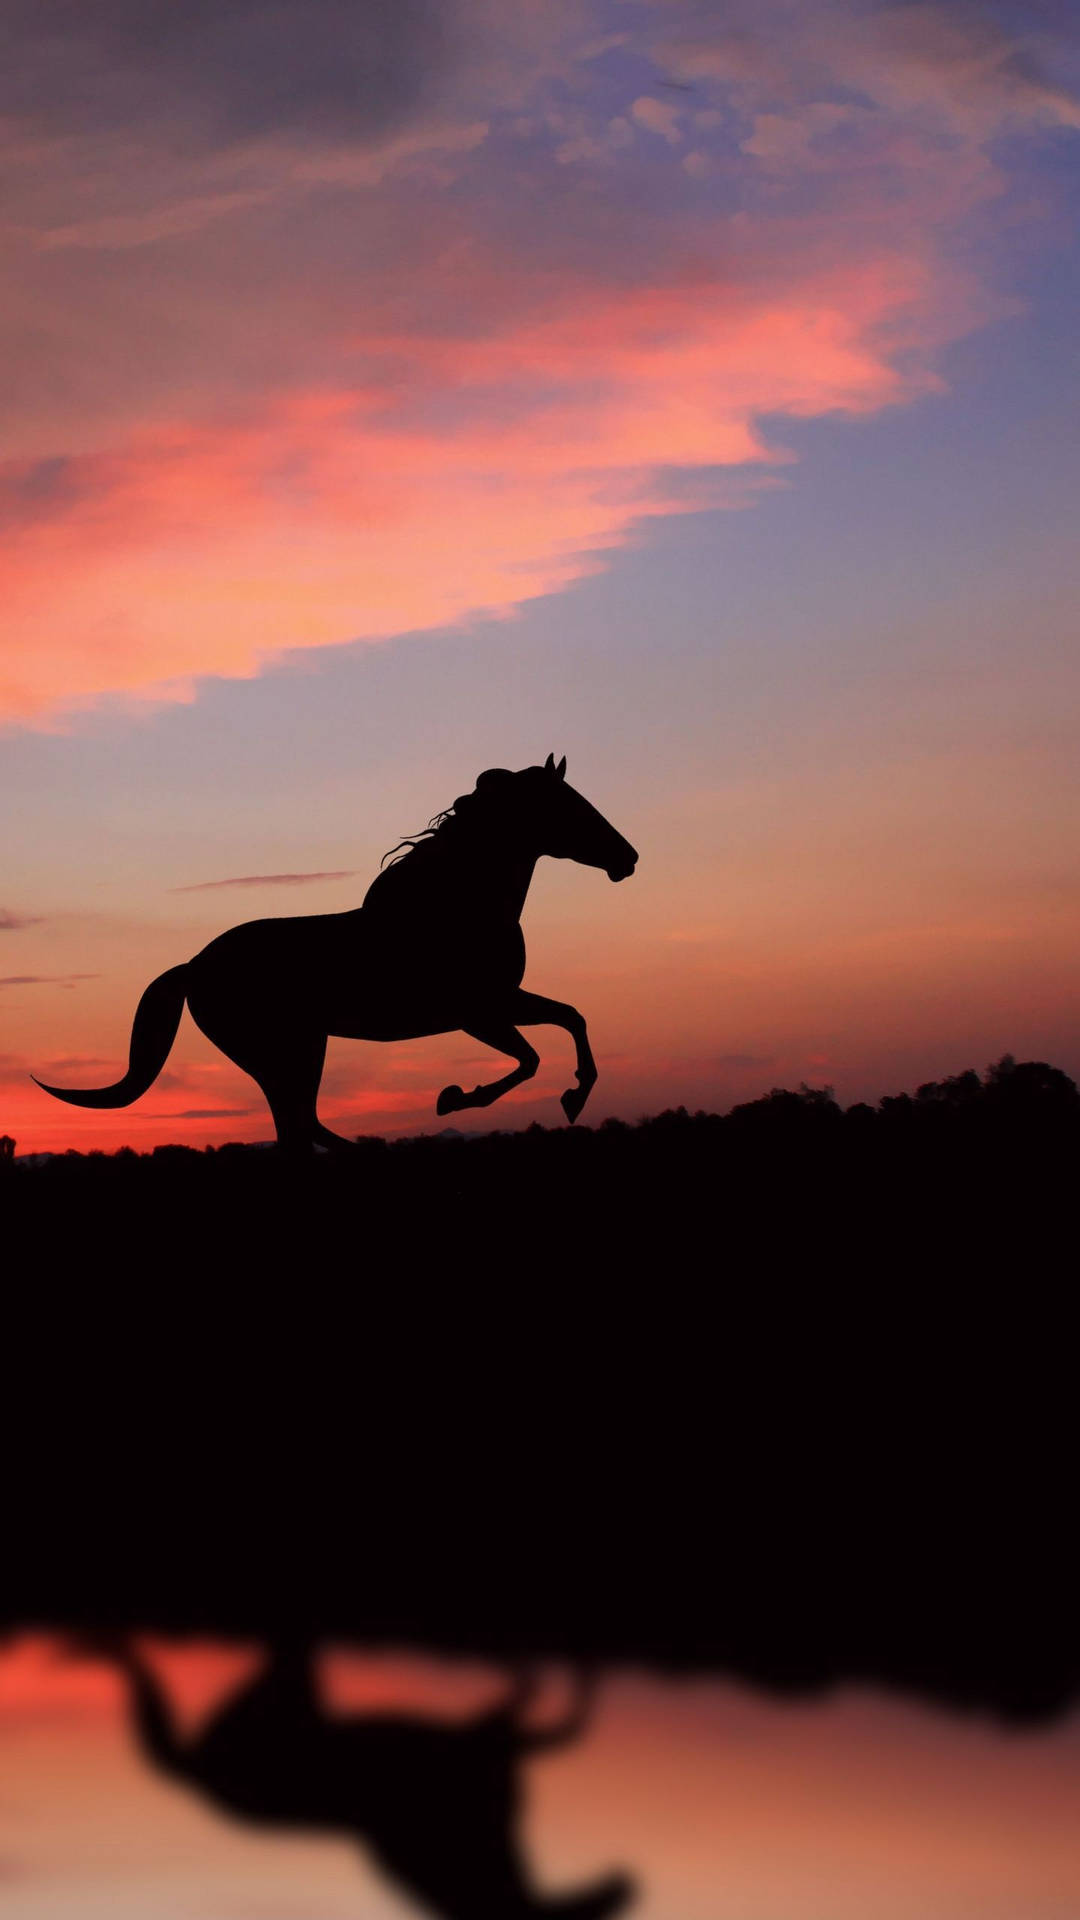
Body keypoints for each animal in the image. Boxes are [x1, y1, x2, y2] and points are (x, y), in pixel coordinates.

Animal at [34, 757, 638, 1151]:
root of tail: (194, 967)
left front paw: (574, 1096)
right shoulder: (476, 1012)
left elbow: (571, 1018)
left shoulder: (502, 1001)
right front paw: (453, 1098)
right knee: (299, 1126)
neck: (455, 905)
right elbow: (530, 1058)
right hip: (283, 1050)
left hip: (301, 1048)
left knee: (300, 1127)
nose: (627, 858)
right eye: (571, 807)